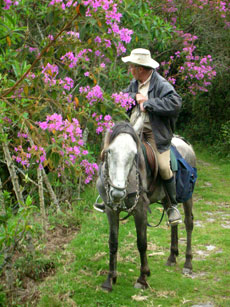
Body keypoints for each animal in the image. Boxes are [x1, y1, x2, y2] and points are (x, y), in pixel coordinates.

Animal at [95, 121, 196, 292]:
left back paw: (188, 263)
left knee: (189, 224)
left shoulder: (140, 210)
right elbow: (113, 243)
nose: (117, 193)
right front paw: (109, 280)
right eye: (109, 151)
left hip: (187, 197)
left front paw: (142, 278)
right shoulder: (111, 211)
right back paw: (172, 257)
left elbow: (142, 243)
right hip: (167, 199)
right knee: (173, 222)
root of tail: (185, 144)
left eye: (134, 155)